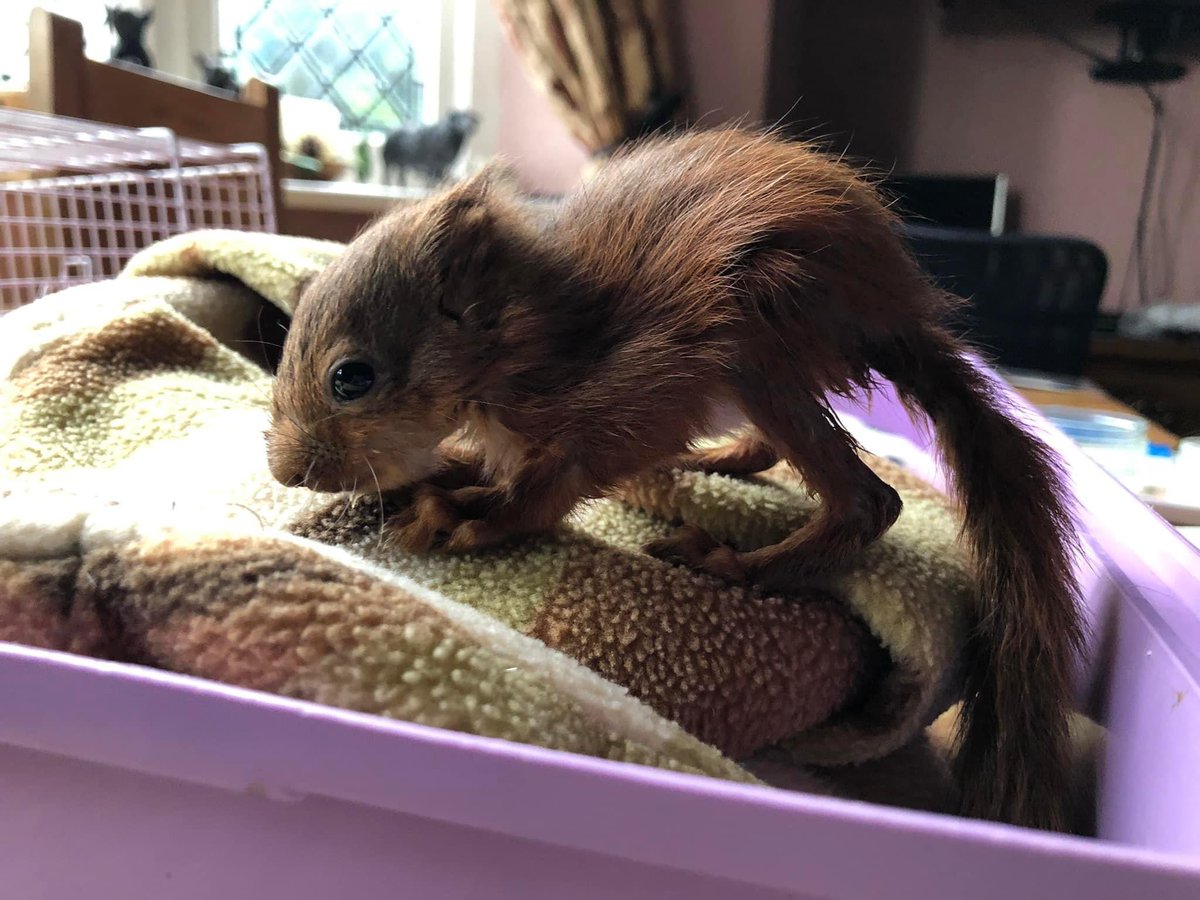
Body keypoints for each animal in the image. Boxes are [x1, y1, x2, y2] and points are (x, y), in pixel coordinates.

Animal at [270, 127, 1089, 830]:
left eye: (352, 378)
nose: (286, 470)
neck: (526, 335)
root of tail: (891, 310)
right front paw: (440, 477)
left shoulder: (630, 396)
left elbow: (548, 489)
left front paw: (468, 514)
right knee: (773, 454)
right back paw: (710, 462)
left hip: (764, 324)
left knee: (868, 500)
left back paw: (733, 563)